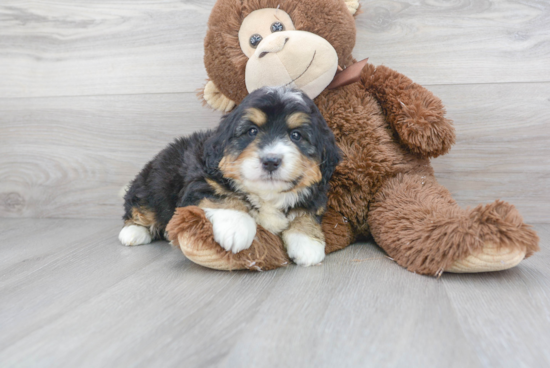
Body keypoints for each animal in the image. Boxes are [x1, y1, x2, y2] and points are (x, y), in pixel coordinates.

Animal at [121, 85, 340, 264]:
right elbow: (225, 198)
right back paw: (133, 232)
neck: (266, 194)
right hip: (153, 185)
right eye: (252, 131)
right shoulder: (201, 181)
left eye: (296, 135)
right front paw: (236, 227)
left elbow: (306, 213)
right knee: (140, 207)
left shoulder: (315, 194)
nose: (271, 161)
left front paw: (307, 242)